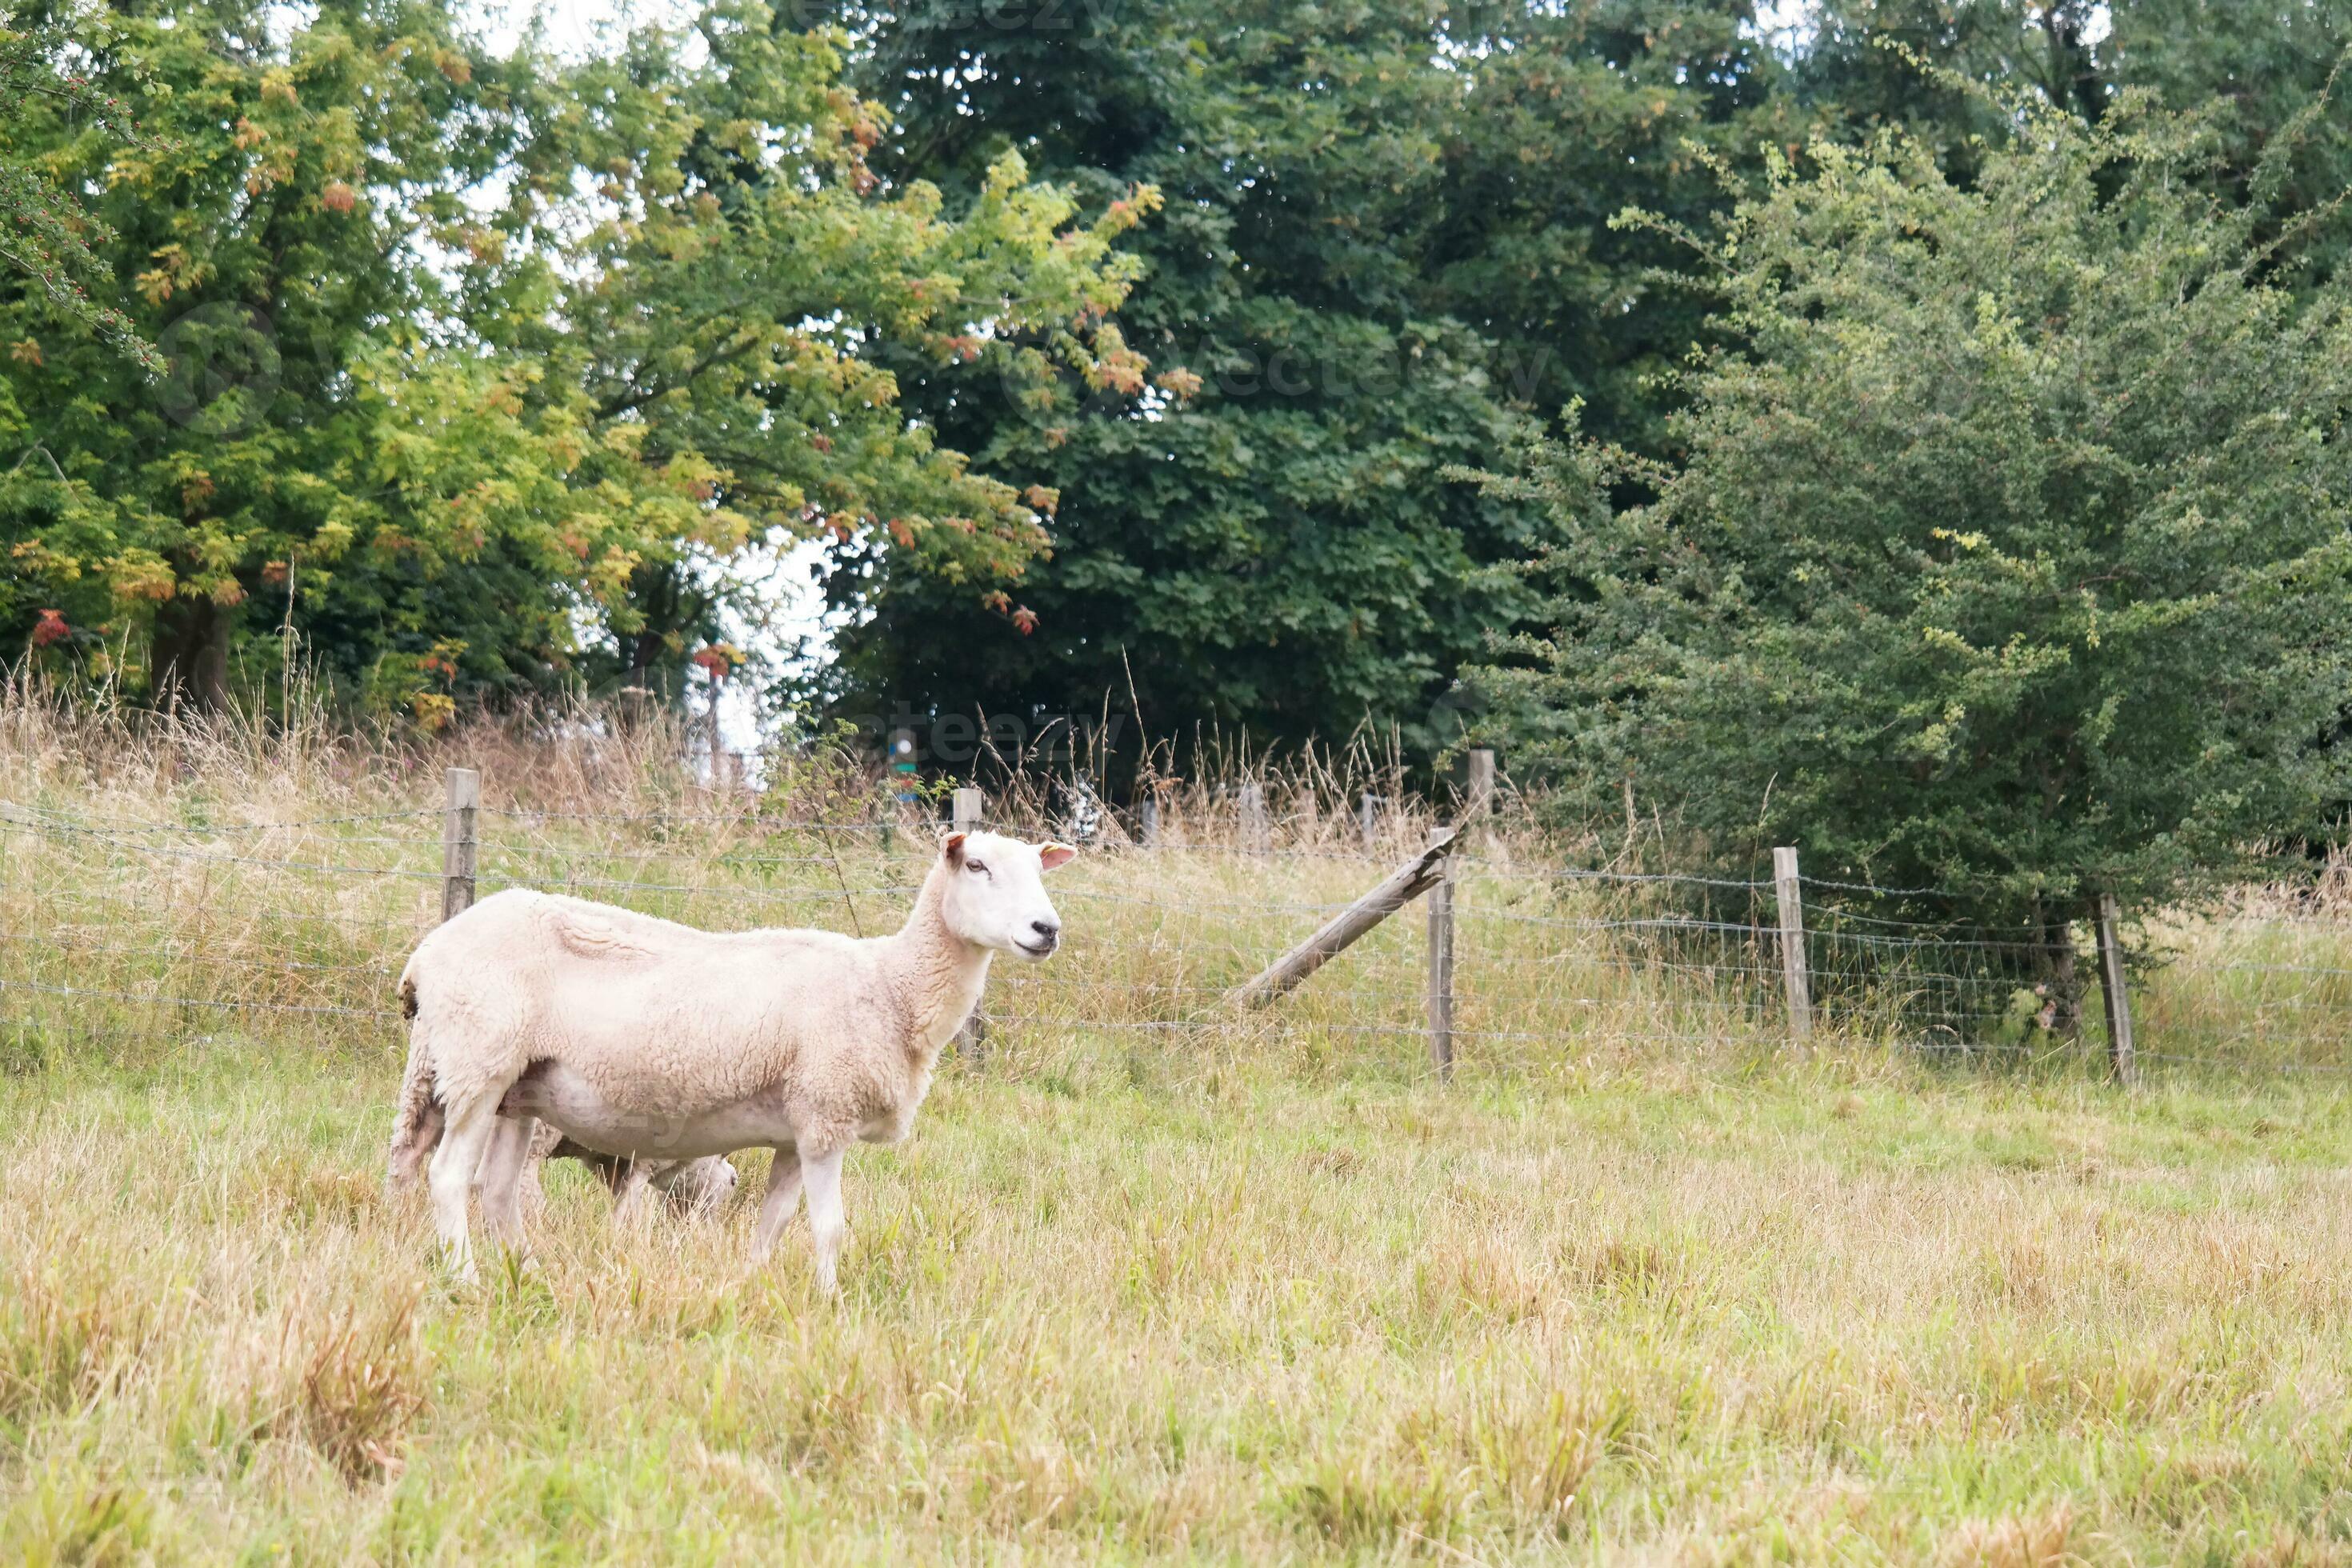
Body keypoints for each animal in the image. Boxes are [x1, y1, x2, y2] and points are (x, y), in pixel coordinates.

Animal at [385, 829, 1071, 1288]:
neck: (891, 986)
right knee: (449, 1177)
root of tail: (428, 952)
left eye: (1041, 870)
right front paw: (830, 1305)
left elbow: (774, 1223)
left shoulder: (796, 1133)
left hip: (517, 1089)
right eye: (976, 865)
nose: (1047, 929)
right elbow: (830, 1227)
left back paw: (528, 1273)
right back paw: (468, 1279)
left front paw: (750, 1287)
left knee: (497, 1190)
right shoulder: (826, 1116)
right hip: (477, 1062)